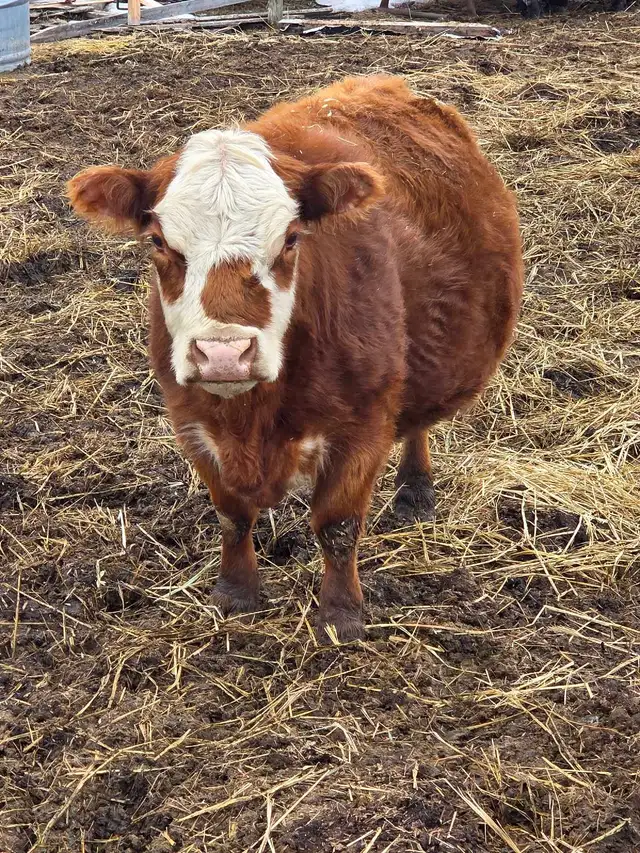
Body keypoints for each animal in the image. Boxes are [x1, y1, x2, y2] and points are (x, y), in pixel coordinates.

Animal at [68, 75, 523, 642]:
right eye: (157, 242)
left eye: (290, 239)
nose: (224, 353)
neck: (253, 418)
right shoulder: (191, 421)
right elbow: (232, 515)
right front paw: (236, 590)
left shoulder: (364, 424)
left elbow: (338, 526)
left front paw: (342, 613)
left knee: (417, 423)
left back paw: (415, 490)